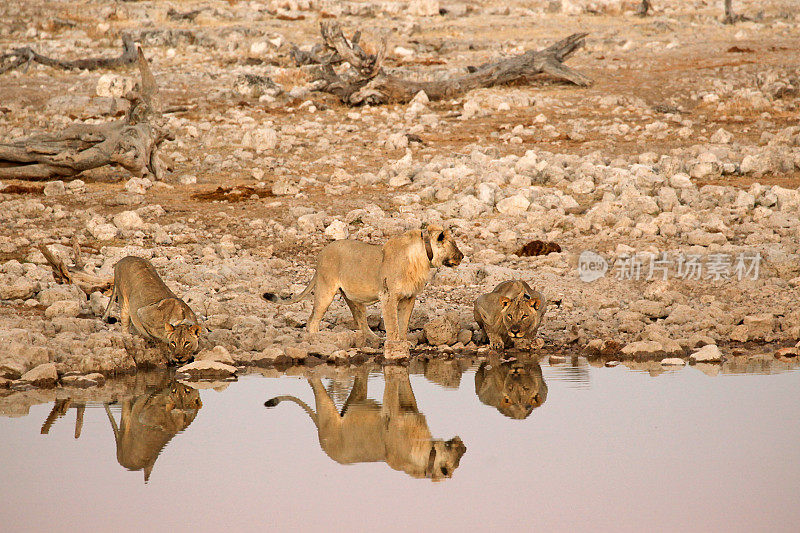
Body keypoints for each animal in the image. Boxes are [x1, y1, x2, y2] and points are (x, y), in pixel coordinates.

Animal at [262, 224, 462, 358]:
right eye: (453, 244)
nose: (462, 256)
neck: (423, 258)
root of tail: (321, 254)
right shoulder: (388, 296)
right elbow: (392, 324)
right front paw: (395, 348)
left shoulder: (409, 297)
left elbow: (403, 322)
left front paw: (403, 342)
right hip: (326, 290)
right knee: (312, 321)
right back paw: (317, 342)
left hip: (353, 297)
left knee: (361, 322)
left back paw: (373, 340)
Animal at [266, 368, 466, 480]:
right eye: (454, 454)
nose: (464, 445)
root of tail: (321, 437)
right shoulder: (392, 412)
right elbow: (392, 391)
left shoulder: (411, 410)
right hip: (327, 412)